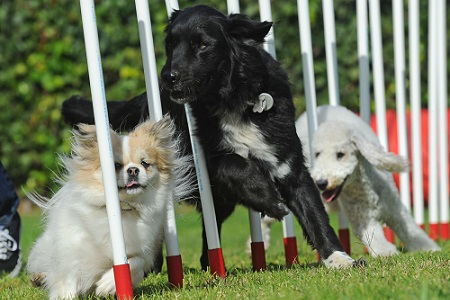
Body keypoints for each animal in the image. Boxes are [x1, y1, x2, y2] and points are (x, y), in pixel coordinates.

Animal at [26, 116, 192, 300]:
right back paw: (39, 278)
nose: (133, 170)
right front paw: (65, 296)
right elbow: (68, 278)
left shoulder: (143, 252)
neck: (124, 209)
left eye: (145, 163)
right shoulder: (72, 251)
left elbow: (135, 263)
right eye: (116, 166)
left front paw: (107, 285)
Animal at [61, 4, 360, 268]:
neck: (233, 101)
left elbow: (315, 214)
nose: (167, 77)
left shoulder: (288, 162)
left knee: (209, 239)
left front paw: (340, 259)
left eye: (202, 45)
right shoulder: (198, 163)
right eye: (171, 44)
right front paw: (270, 199)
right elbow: (234, 163)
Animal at [251, 104, 442, 256]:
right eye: (317, 154)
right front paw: (389, 253)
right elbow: (376, 239)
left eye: (340, 154)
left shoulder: (396, 211)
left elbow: (412, 230)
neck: (366, 190)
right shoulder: (363, 220)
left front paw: (430, 249)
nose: (321, 183)